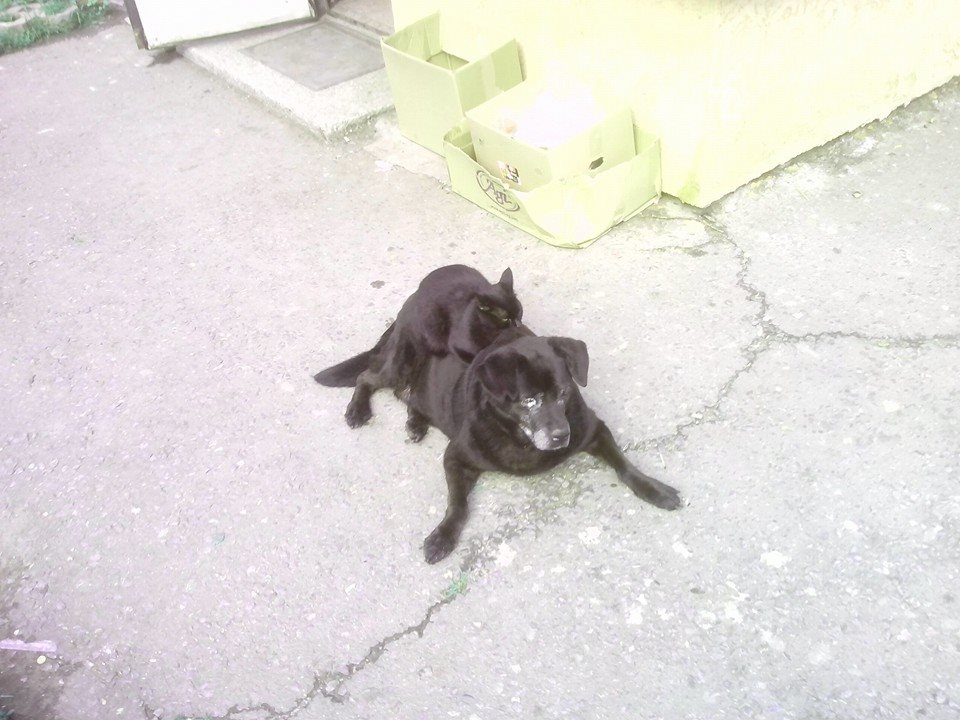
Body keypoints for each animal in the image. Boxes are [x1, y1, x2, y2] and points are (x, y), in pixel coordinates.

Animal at [314, 265, 522, 434]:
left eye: (519, 312)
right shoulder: (460, 344)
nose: (519, 324)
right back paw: (357, 411)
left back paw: (416, 425)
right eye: (505, 318)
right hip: (405, 358)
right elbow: (478, 354)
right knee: (365, 377)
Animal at [406, 327, 683, 563]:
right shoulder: (455, 456)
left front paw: (653, 488)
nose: (562, 435)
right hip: (428, 398)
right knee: (411, 399)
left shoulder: (594, 430)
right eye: (529, 400)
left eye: (563, 392)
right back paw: (415, 426)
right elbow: (458, 504)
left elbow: (624, 466)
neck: (522, 441)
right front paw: (443, 535)